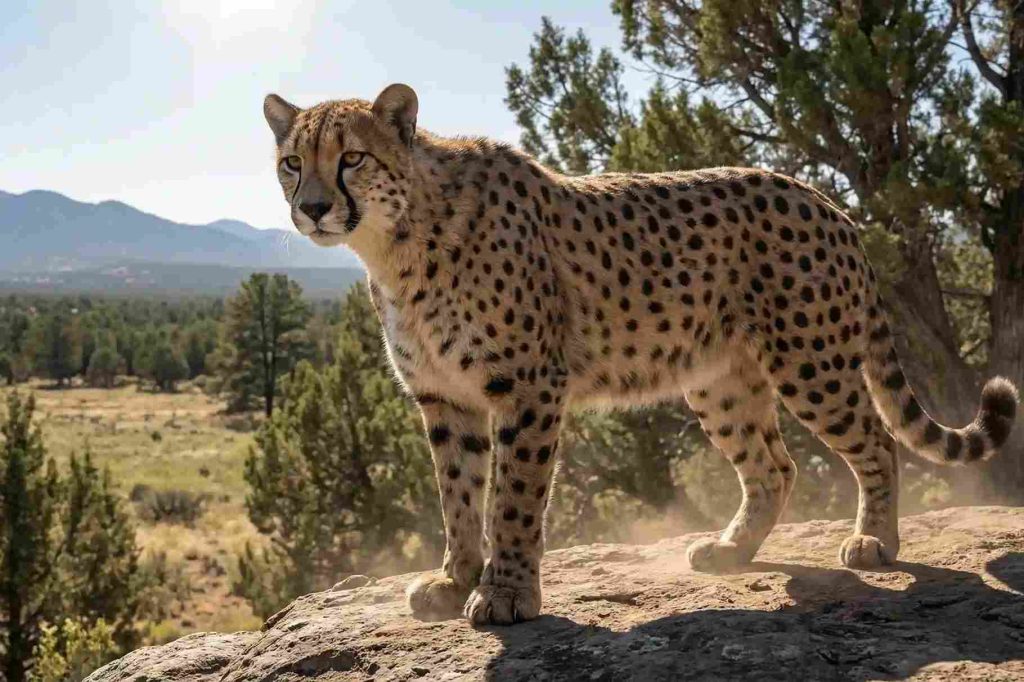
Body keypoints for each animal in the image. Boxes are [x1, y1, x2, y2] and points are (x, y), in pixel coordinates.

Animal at [262, 83, 1019, 626]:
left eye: (352, 157)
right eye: (293, 162)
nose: (314, 207)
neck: (396, 241)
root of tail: (825, 199)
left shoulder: (527, 387)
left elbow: (512, 499)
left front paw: (506, 594)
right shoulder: (445, 398)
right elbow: (458, 495)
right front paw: (455, 580)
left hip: (811, 362)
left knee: (875, 442)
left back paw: (875, 541)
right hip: (719, 380)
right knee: (773, 466)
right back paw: (731, 549)